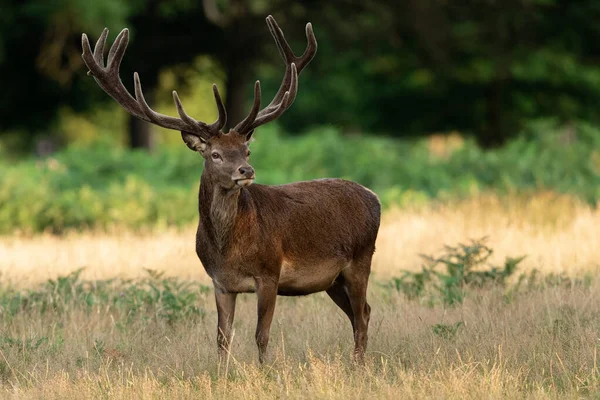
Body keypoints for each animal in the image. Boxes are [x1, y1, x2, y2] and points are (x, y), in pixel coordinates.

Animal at [81, 15, 380, 364]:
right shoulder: (220, 282)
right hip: (333, 279)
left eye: (246, 151)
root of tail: (374, 198)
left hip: (361, 259)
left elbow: (261, 335)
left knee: (362, 314)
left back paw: (359, 366)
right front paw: (222, 372)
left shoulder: (269, 273)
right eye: (215, 154)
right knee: (361, 313)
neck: (229, 249)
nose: (246, 171)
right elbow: (222, 338)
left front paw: (265, 372)